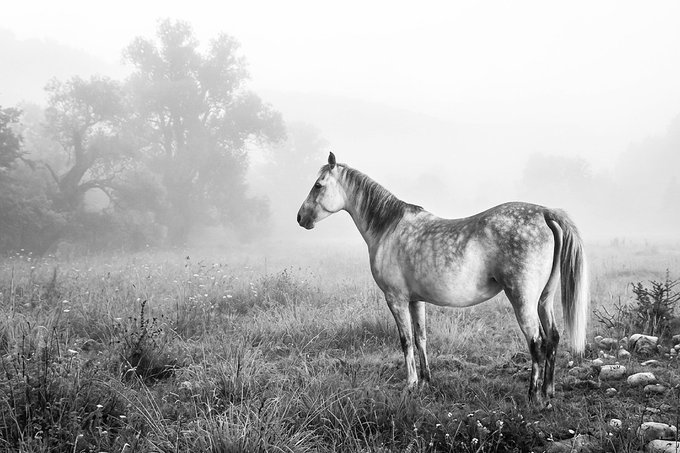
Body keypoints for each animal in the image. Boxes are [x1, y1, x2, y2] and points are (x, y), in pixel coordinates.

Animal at [297, 152, 588, 406]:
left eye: (318, 185)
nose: (300, 218)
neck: (389, 228)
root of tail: (545, 213)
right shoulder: (416, 300)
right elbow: (421, 338)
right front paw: (426, 381)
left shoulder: (396, 299)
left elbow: (405, 341)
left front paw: (411, 384)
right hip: (544, 299)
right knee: (552, 338)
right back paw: (549, 391)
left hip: (523, 299)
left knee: (537, 343)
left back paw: (533, 397)